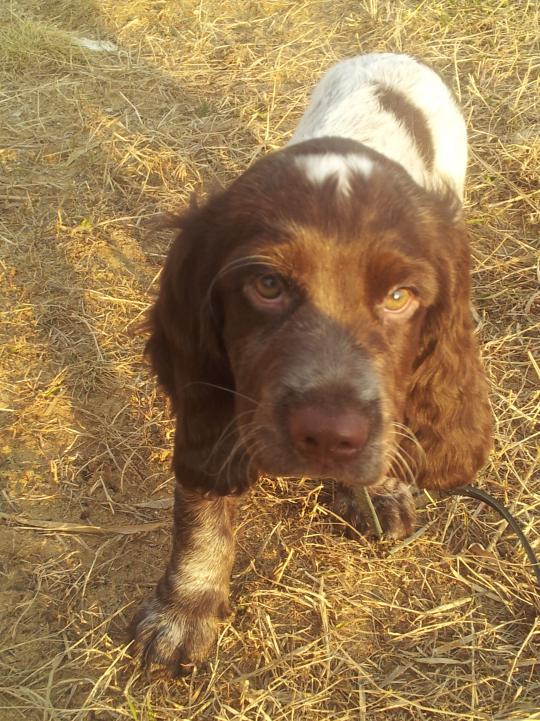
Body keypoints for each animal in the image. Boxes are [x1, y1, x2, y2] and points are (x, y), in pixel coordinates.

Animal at [131, 53, 492, 675]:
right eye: (268, 285)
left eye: (400, 296)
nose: (328, 436)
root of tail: (393, 55)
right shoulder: (213, 405)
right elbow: (201, 514)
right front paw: (184, 610)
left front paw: (380, 491)